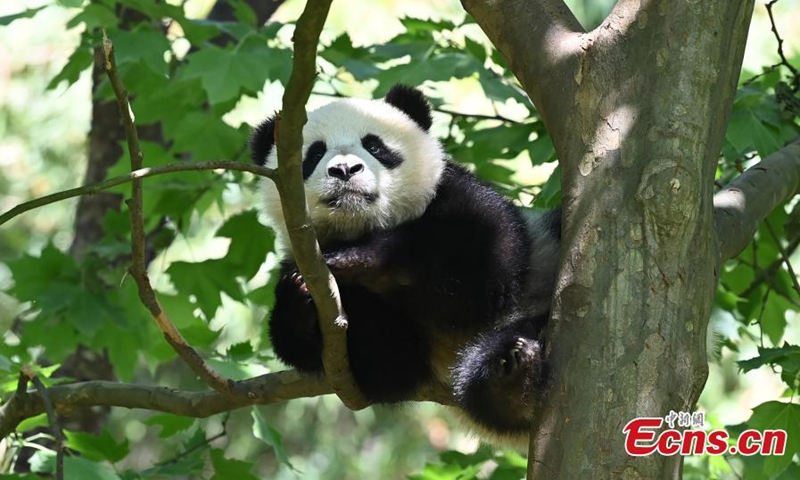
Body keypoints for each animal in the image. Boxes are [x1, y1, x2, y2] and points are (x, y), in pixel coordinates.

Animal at [250, 85, 561, 444]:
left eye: (374, 145)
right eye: (313, 155)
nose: (344, 171)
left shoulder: (461, 198)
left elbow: (483, 270)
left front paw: (357, 258)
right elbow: (384, 364)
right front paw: (297, 298)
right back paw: (511, 382)